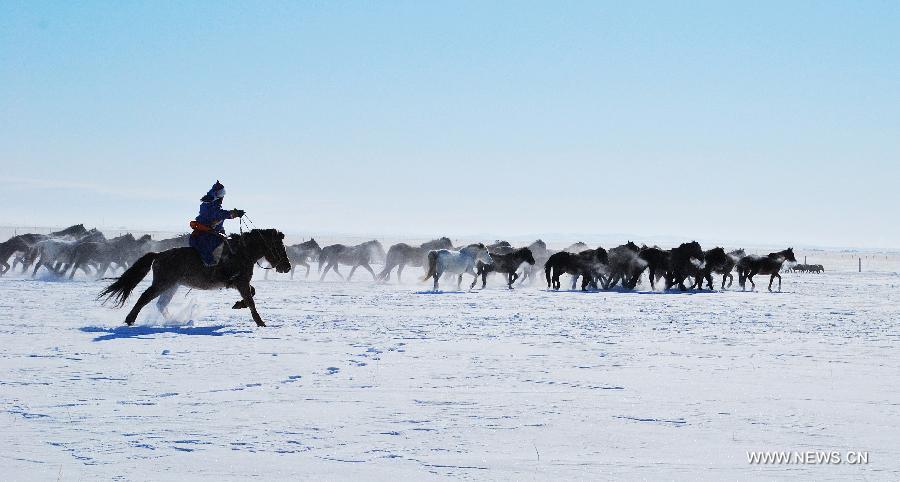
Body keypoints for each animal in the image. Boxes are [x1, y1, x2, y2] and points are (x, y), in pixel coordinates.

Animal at [101, 229, 292, 328]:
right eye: (279, 246)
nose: (287, 267)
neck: (243, 253)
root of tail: (159, 255)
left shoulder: (240, 283)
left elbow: (252, 293)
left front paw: (238, 305)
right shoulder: (241, 282)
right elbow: (252, 301)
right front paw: (261, 322)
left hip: (172, 286)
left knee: (161, 304)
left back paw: (174, 321)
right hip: (163, 283)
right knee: (145, 297)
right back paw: (130, 320)